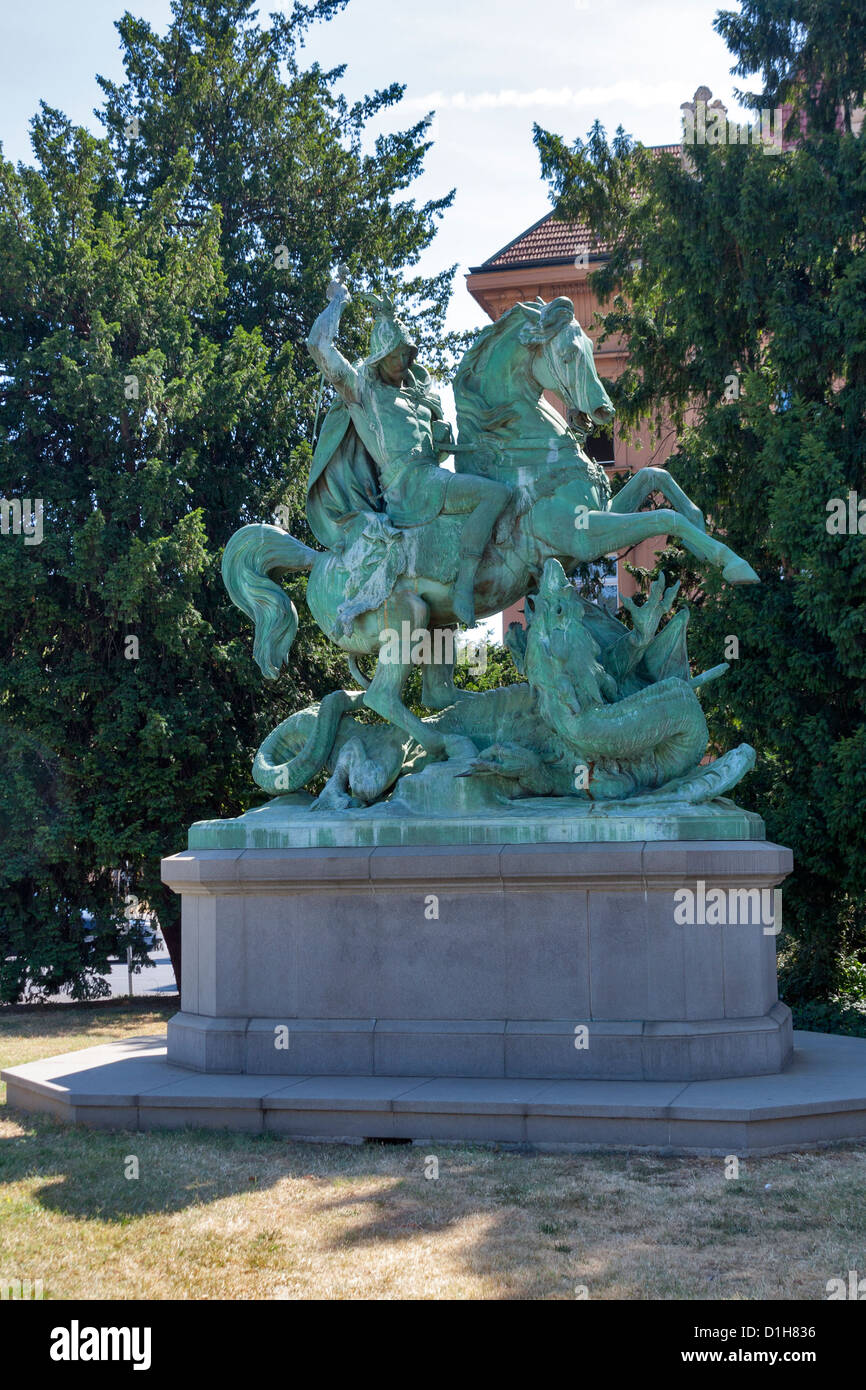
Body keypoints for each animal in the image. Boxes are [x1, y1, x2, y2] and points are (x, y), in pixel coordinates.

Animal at [225, 294, 756, 767]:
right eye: (568, 354)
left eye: (591, 348)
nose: (604, 413)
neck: (529, 454)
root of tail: (321, 558)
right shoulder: (583, 537)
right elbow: (661, 517)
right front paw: (736, 565)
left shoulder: (598, 517)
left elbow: (655, 478)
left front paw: (702, 518)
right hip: (405, 617)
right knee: (382, 698)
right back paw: (448, 745)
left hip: (436, 628)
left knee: (435, 696)